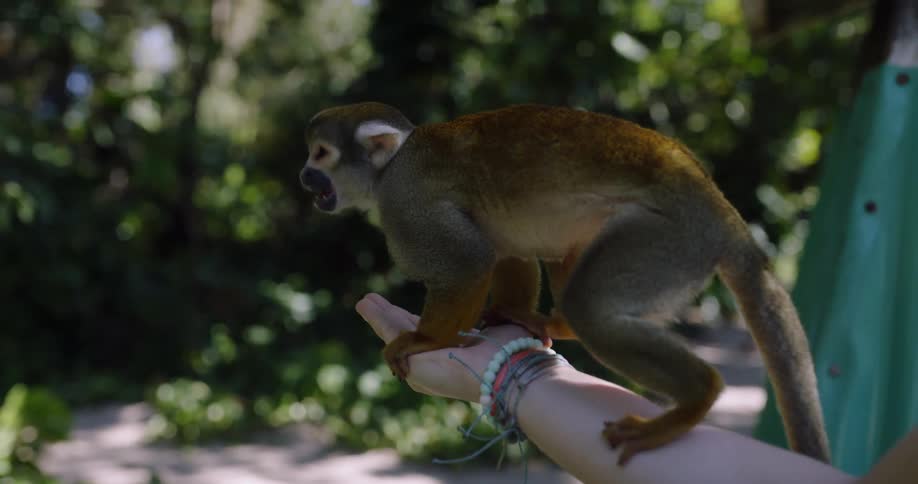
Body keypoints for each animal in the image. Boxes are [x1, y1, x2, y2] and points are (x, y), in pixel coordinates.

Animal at [299, 102, 830, 466]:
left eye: (321, 153)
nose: (304, 176)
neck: (390, 169)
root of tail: (718, 208)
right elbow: (500, 248)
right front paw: (505, 315)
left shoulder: (405, 207)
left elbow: (468, 262)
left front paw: (428, 338)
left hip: (671, 239)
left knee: (590, 305)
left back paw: (695, 396)